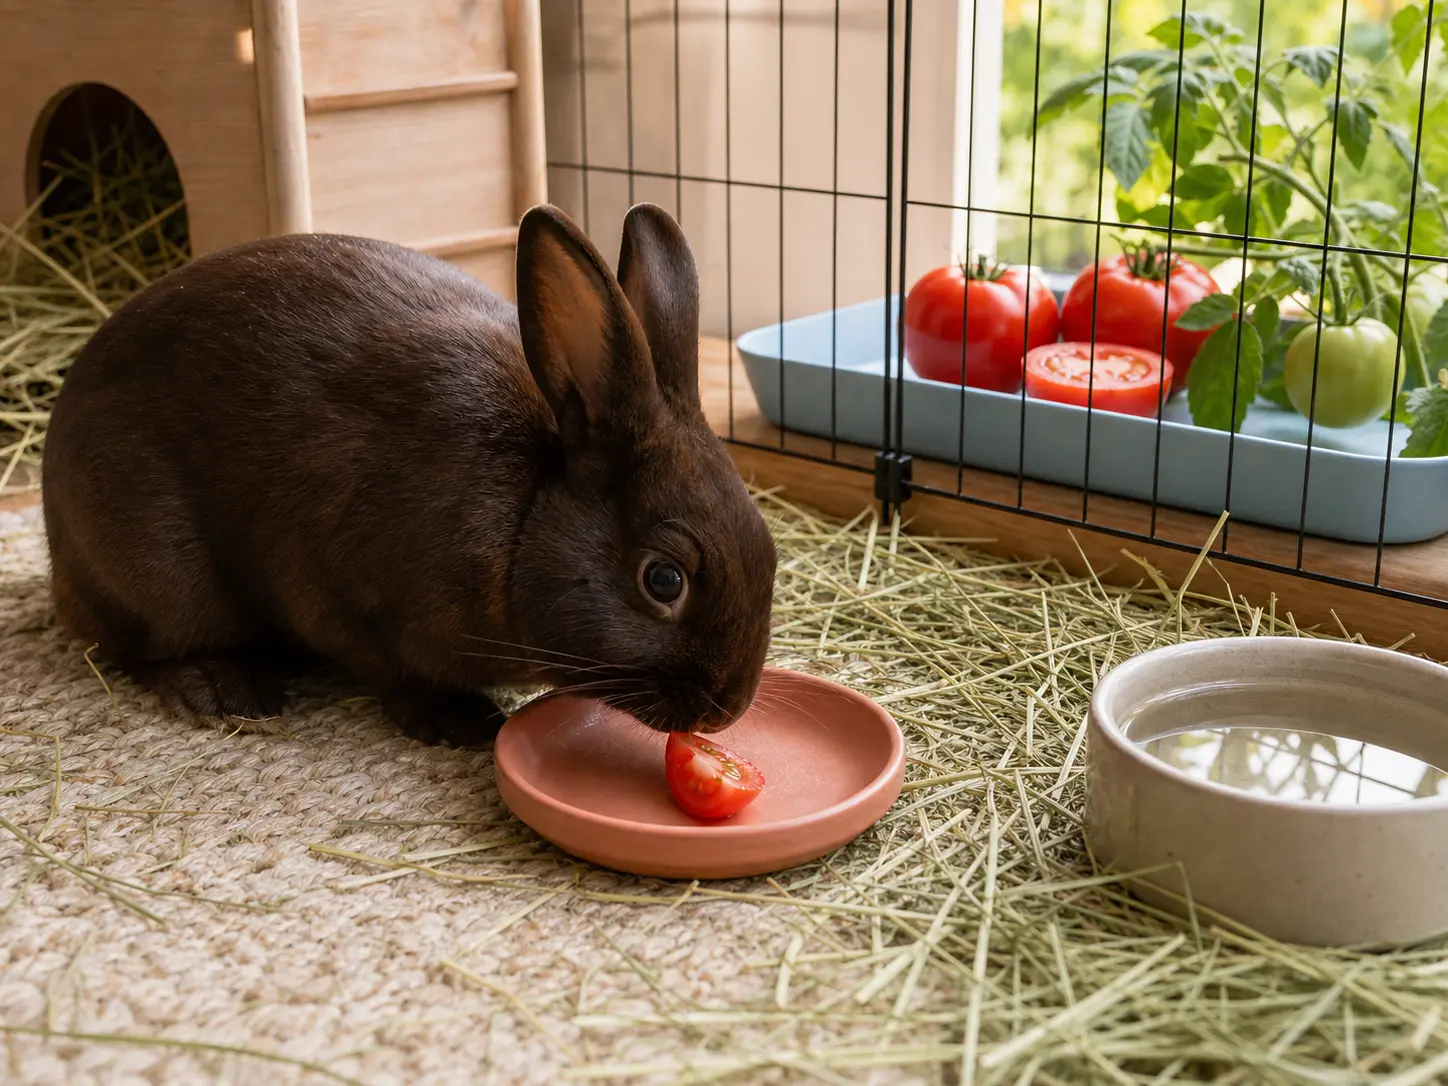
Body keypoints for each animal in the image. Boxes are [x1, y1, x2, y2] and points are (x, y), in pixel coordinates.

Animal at [41, 202, 778, 747]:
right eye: (663, 580)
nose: (728, 708)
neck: (525, 514)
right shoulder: (342, 594)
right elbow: (393, 673)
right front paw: (459, 722)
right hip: (157, 568)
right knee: (139, 648)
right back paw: (225, 690)